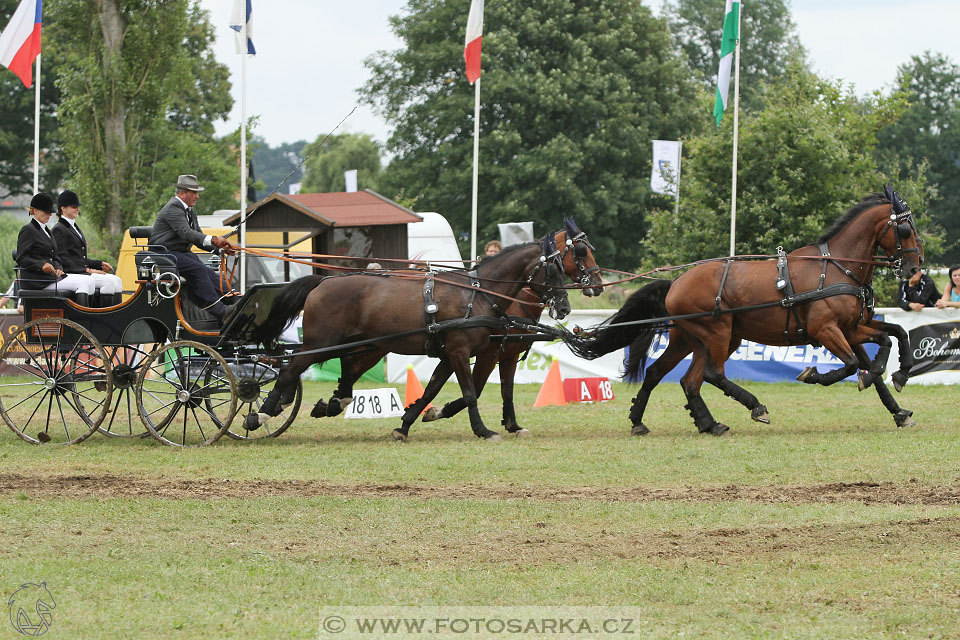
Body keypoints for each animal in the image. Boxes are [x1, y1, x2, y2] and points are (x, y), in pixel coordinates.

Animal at [300, 218, 604, 438]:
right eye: (580, 252)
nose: (564, 308)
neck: (482, 294)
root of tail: (325, 281)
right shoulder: (476, 352)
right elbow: (472, 391)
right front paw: (468, 423)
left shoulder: (493, 354)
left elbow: (485, 390)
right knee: (341, 365)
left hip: (372, 345)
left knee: (349, 367)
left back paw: (333, 402)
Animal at [568, 189, 924, 436]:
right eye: (905, 230)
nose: (914, 269)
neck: (837, 267)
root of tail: (677, 282)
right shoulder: (826, 330)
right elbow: (852, 363)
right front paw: (815, 374)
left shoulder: (852, 328)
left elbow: (890, 340)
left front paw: (898, 389)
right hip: (718, 332)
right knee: (710, 375)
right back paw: (754, 407)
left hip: (697, 338)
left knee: (675, 376)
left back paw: (689, 423)